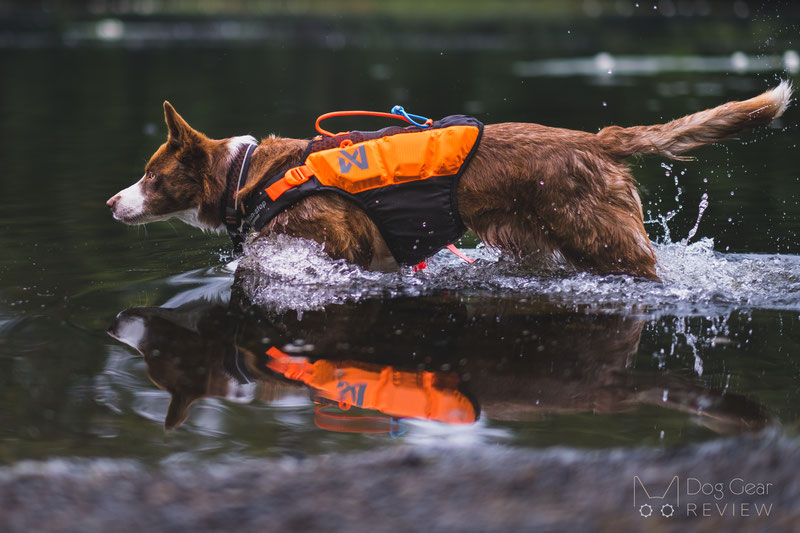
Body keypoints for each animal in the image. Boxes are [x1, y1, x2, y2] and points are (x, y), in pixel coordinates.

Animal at [108, 82, 792, 278]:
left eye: (150, 175)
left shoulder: (334, 245)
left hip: (604, 238)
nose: (111, 202)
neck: (244, 175)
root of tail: (592, 140)